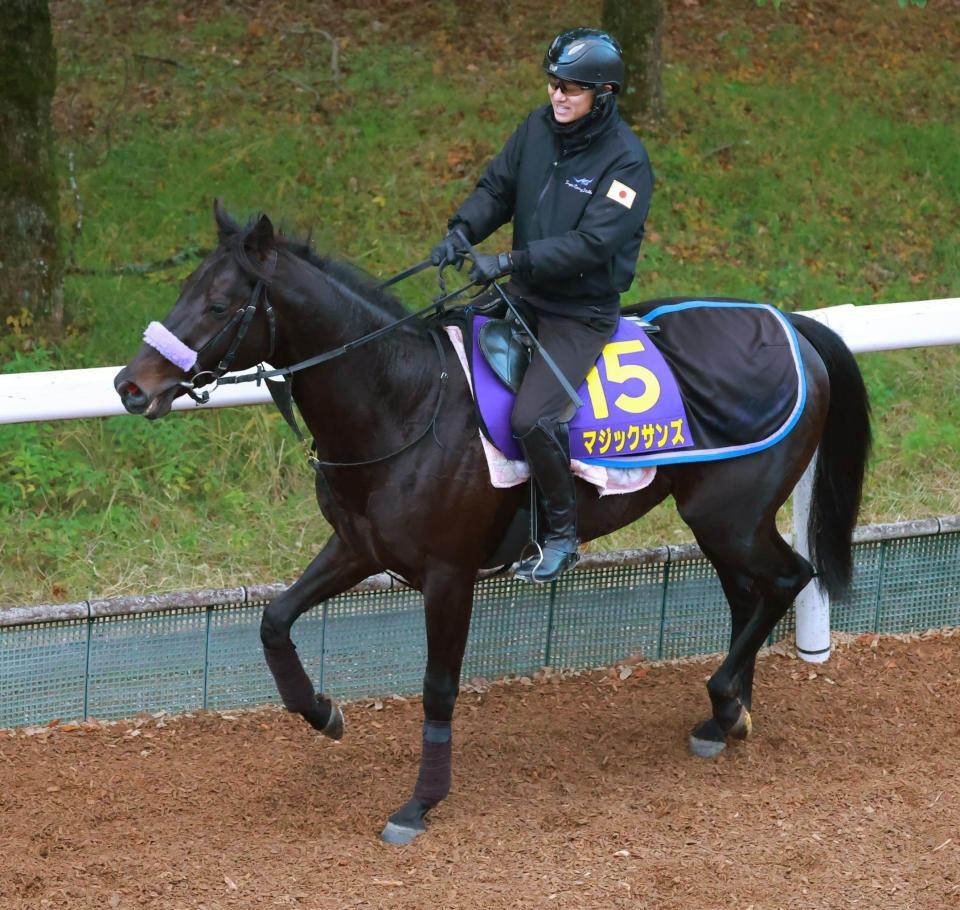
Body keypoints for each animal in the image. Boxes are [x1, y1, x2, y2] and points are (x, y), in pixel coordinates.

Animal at [115, 202, 871, 845]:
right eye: (182, 289)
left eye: (219, 303)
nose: (131, 385)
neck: (405, 399)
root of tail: (791, 325)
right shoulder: (359, 546)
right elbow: (274, 620)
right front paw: (323, 712)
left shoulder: (450, 574)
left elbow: (437, 687)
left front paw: (420, 802)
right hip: (718, 515)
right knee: (749, 593)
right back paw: (727, 715)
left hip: (729, 513)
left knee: (788, 578)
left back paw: (724, 698)